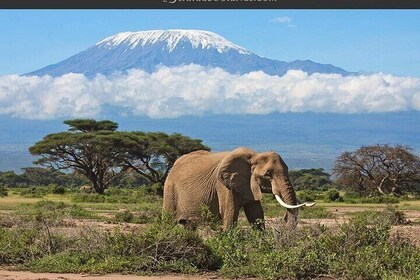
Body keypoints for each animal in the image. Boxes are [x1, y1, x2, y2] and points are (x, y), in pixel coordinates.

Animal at [163, 147, 316, 230]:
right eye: (267, 174)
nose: (284, 218)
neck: (253, 156)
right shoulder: (223, 186)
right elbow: (230, 214)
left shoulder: (249, 185)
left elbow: (256, 214)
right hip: (170, 189)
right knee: (168, 221)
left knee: (189, 226)